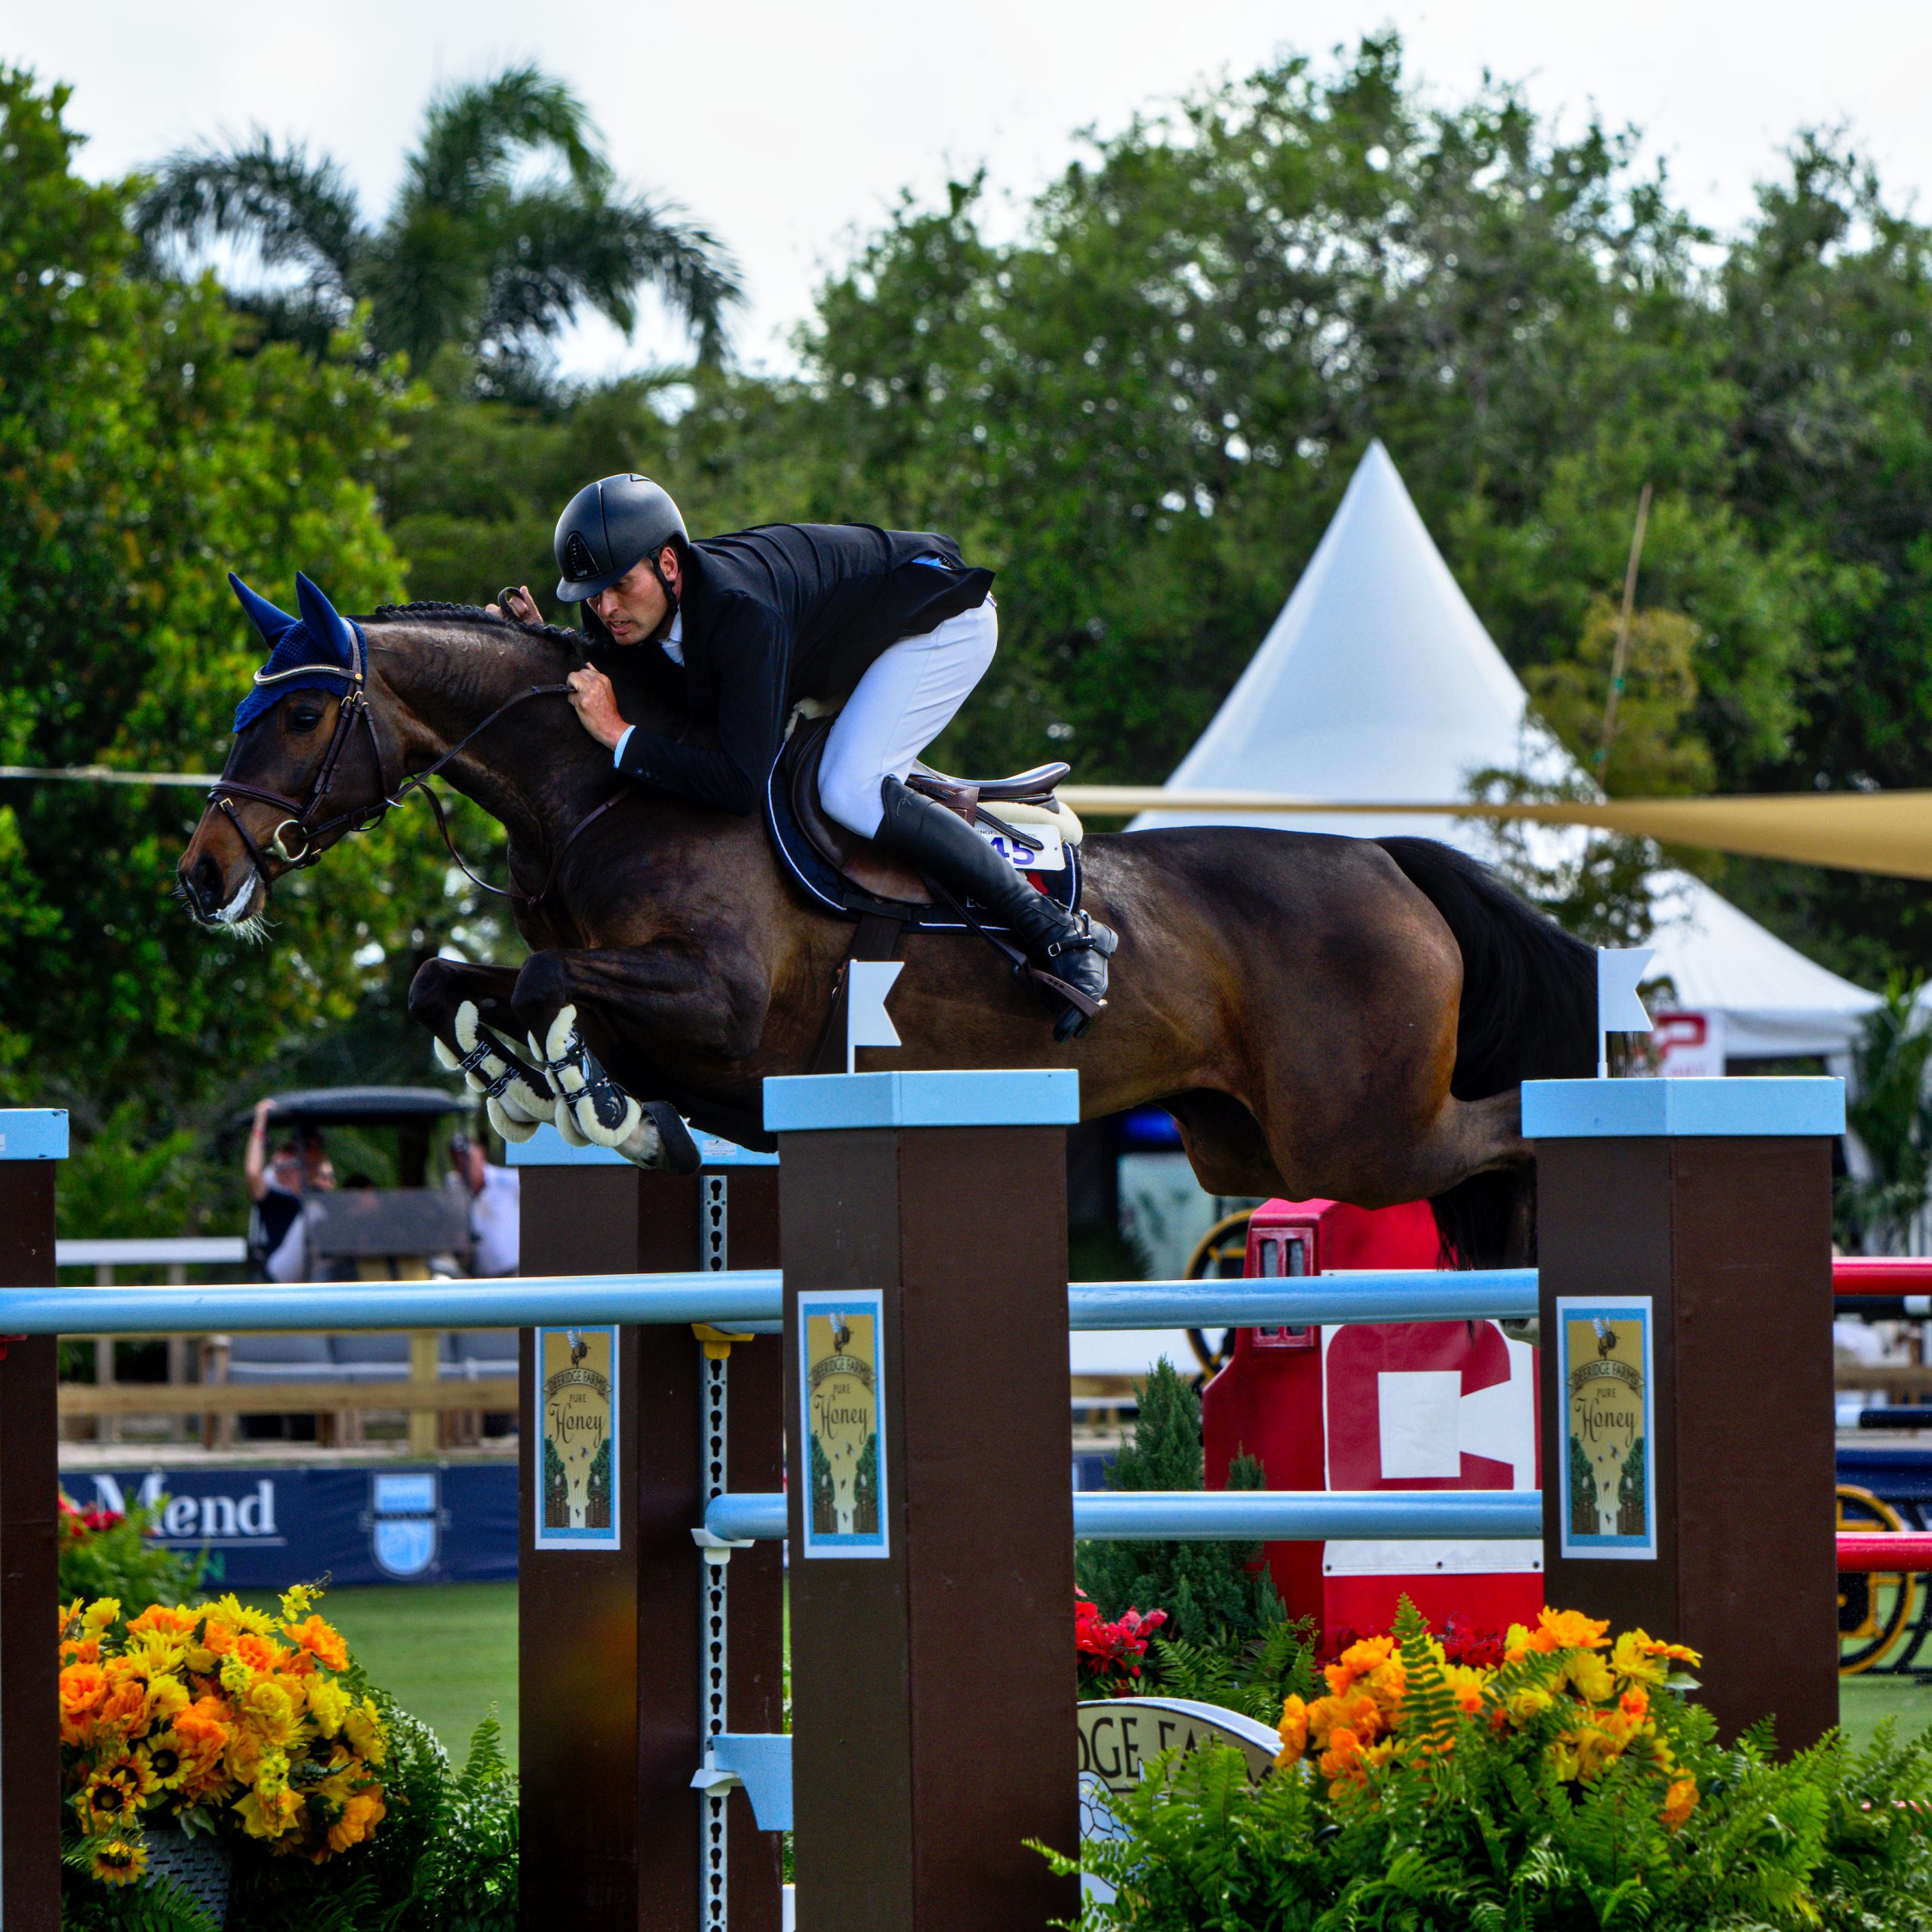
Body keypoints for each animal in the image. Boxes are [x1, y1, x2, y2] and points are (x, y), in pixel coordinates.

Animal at [177, 583, 1599, 1267]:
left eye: (298, 715)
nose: (203, 876)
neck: (608, 791)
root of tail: (1386, 860)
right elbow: (452, 980)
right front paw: (528, 1081)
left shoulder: (719, 1009)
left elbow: (542, 982)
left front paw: (589, 1096)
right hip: (1240, 1143)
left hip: (1361, 1133)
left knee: (1504, 1134)